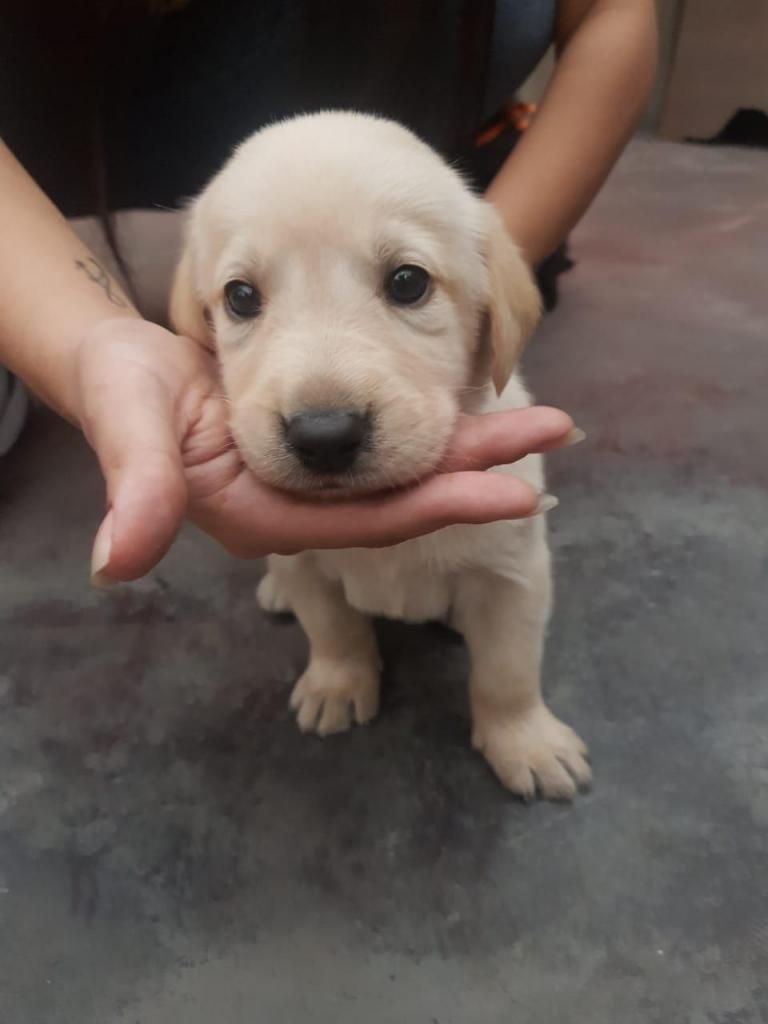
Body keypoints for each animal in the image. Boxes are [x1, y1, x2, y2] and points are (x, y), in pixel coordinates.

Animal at [169, 110, 589, 798]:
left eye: (407, 282)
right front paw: (338, 683)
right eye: (240, 297)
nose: (324, 435)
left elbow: (508, 672)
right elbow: (333, 628)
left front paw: (524, 740)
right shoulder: (308, 568)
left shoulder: (514, 576)